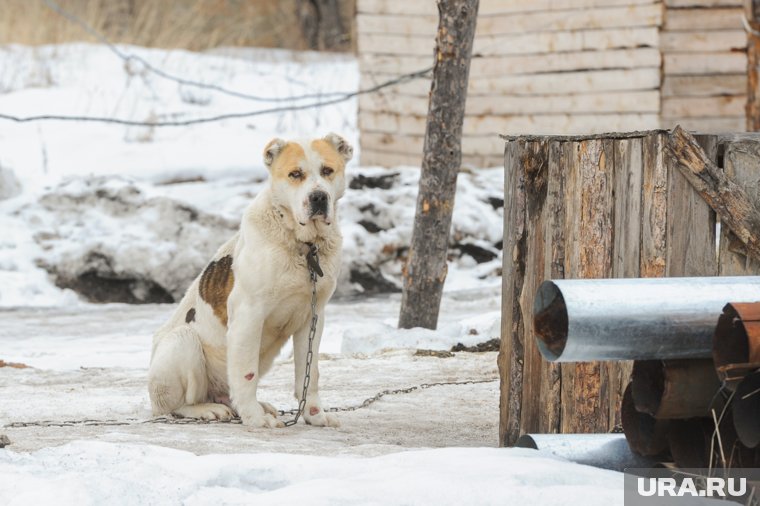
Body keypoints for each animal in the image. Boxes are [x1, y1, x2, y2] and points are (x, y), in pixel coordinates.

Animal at [147, 133, 352, 426]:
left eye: (327, 171)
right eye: (295, 174)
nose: (318, 197)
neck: (302, 245)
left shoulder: (313, 317)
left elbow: (309, 373)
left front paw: (315, 415)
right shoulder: (248, 316)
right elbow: (246, 374)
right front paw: (255, 418)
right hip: (182, 342)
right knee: (176, 405)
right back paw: (208, 409)